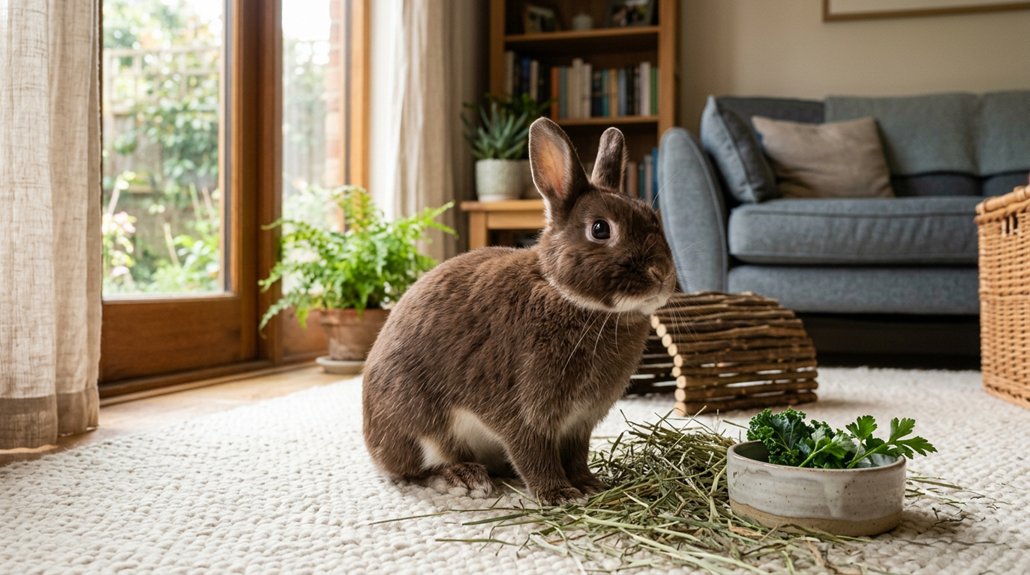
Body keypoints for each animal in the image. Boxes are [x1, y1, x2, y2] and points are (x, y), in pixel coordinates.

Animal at [362, 118, 676, 505]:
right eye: (601, 229)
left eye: (653, 218)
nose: (662, 274)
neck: (567, 296)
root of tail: (372, 442)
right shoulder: (523, 411)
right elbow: (533, 452)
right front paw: (559, 494)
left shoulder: (579, 424)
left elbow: (576, 455)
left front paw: (589, 484)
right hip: (417, 422)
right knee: (413, 470)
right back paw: (465, 478)